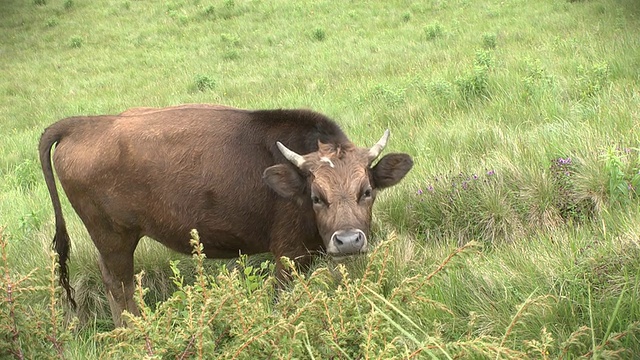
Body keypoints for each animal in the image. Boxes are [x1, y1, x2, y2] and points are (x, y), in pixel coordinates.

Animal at [37, 104, 412, 326]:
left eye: (367, 191)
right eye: (317, 197)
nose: (348, 241)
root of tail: (85, 124)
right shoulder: (289, 254)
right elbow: (280, 298)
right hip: (114, 238)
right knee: (120, 284)